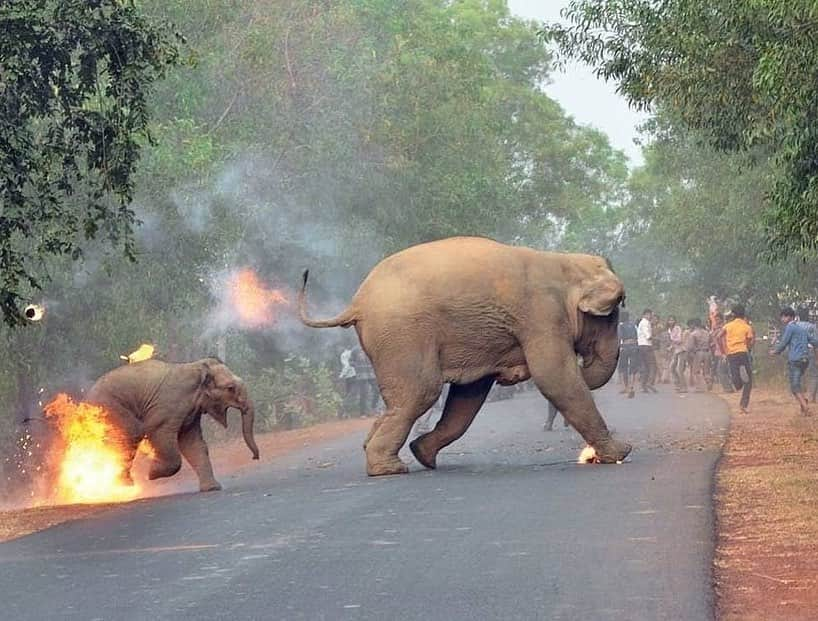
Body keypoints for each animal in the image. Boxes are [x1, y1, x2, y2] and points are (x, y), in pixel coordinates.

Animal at [86, 356, 258, 492]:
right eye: (230, 388)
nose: (254, 458)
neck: (198, 367)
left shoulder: (191, 413)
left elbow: (193, 443)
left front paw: (212, 489)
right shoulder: (169, 405)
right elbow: (159, 432)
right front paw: (152, 474)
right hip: (111, 408)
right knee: (130, 436)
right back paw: (124, 486)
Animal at [302, 237, 632, 474]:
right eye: (612, 314)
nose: (584, 363)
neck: (565, 262)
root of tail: (356, 303)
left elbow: (469, 395)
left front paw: (423, 452)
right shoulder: (542, 316)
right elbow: (555, 377)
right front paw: (621, 452)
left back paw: (391, 455)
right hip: (401, 334)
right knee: (422, 392)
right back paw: (389, 469)